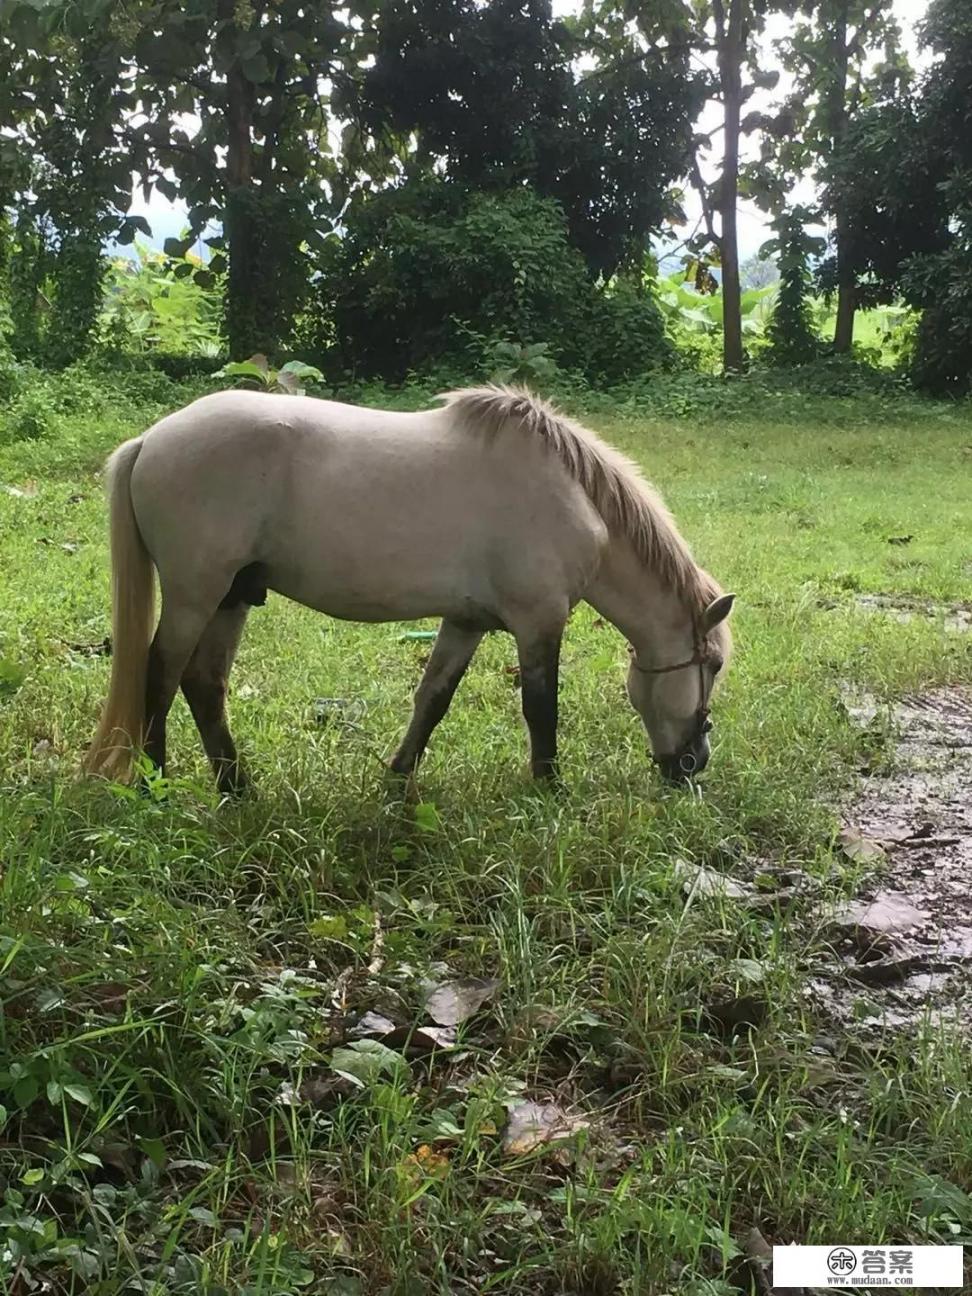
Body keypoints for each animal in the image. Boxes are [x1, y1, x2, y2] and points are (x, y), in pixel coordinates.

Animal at [85, 383, 736, 787]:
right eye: (713, 664)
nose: (694, 762)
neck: (573, 498)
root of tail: (151, 440)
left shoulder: (466, 622)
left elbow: (433, 699)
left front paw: (399, 776)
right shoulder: (539, 623)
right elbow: (541, 709)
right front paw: (549, 787)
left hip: (232, 597)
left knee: (203, 683)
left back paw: (236, 786)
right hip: (195, 595)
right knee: (159, 675)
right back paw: (155, 783)